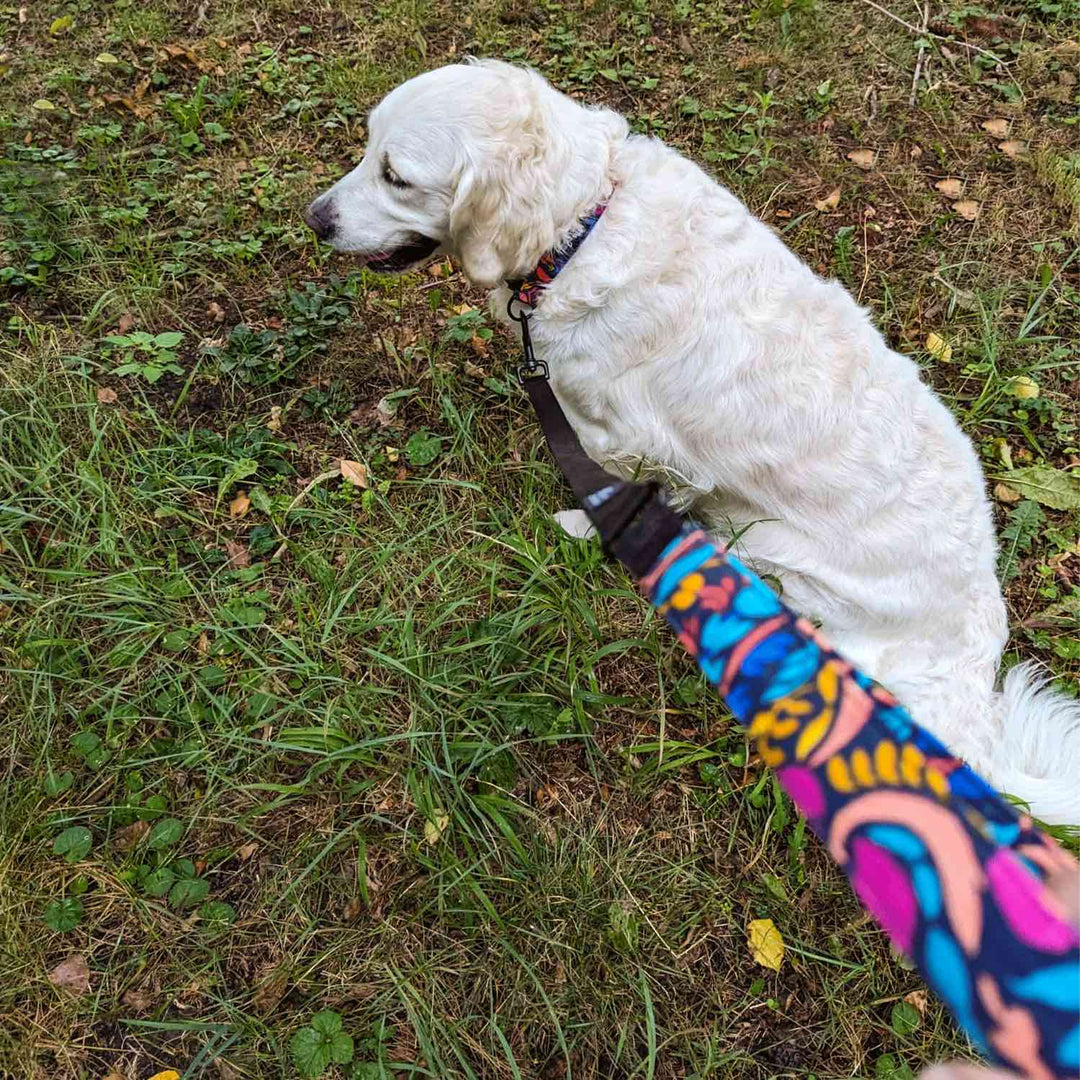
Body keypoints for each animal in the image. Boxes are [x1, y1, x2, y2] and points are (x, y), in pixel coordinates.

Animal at [306, 59, 1080, 820]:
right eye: (367, 149)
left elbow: (618, 492)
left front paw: (583, 524)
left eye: (397, 176)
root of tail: (971, 665)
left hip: (776, 553)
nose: (315, 219)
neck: (581, 228)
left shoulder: (634, 440)